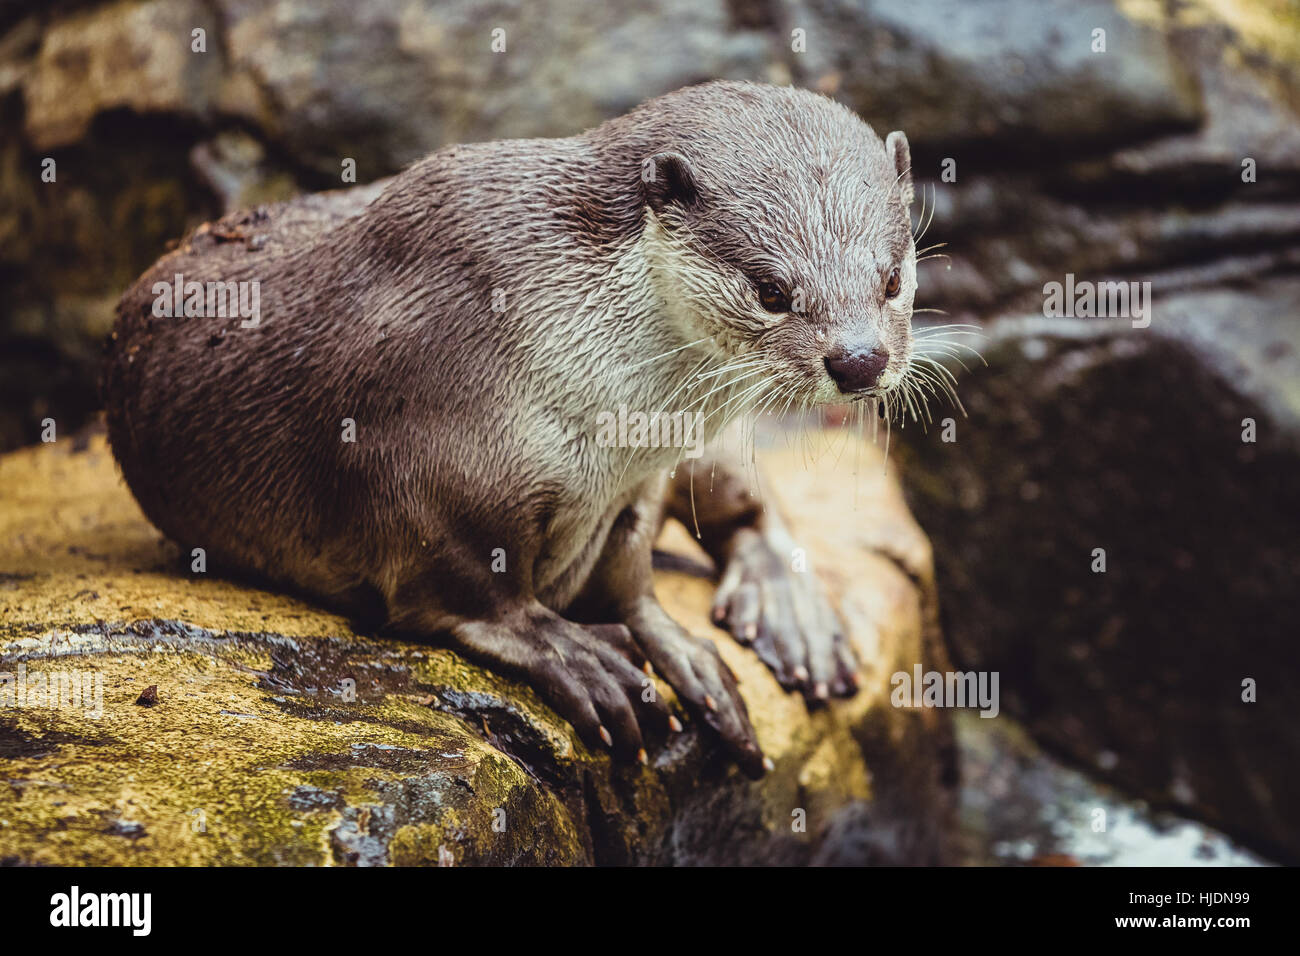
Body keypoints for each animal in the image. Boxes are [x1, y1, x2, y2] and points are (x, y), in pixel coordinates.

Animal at [106, 82, 925, 780]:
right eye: (771, 290)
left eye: (891, 279)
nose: (859, 360)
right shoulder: (417, 454)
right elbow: (472, 588)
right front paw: (571, 653)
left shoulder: (642, 477)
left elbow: (630, 576)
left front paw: (675, 649)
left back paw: (791, 613)